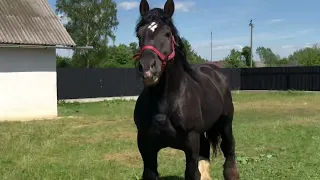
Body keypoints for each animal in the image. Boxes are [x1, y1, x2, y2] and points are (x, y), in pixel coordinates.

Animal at [132, 0, 240, 179]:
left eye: (167, 33)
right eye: (139, 34)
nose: (147, 68)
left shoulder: (190, 146)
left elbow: (192, 172)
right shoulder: (147, 149)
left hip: (225, 124)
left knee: (229, 152)